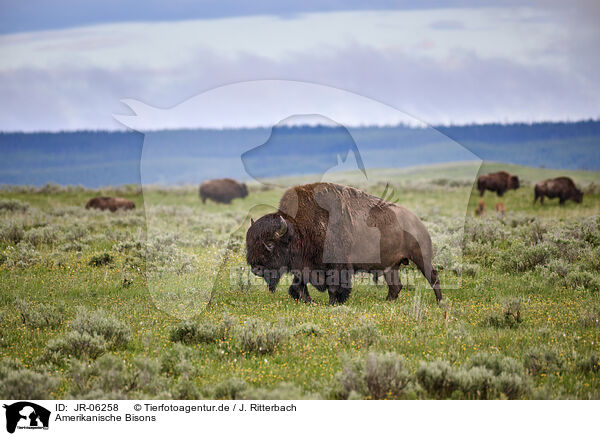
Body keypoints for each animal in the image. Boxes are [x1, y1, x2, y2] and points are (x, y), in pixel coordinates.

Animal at [244, 182, 440, 304]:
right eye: (249, 243)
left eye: (270, 244)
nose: (256, 269)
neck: (298, 229)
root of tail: (418, 223)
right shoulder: (302, 266)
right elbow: (298, 287)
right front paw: (309, 301)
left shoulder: (336, 267)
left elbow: (334, 288)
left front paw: (332, 304)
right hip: (391, 267)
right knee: (395, 286)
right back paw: (387, 302)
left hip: (421, 258)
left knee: (433, 277)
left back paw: (440, 302)